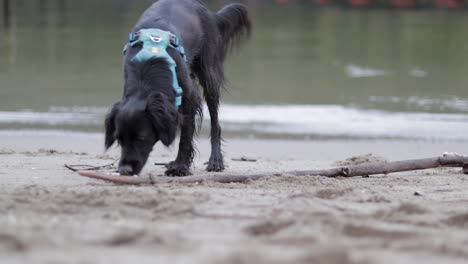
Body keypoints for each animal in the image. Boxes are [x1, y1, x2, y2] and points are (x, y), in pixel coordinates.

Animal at [104, 1, 250, 177]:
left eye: (142, 138)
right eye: (119, 139)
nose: (125, 170)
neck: (148, 69)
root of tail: (207, 11)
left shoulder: (189, 97)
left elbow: (186, 134)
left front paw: (180, 166)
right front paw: (179, 163)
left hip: (208, 73)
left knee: (215, 122)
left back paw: (216, 160)